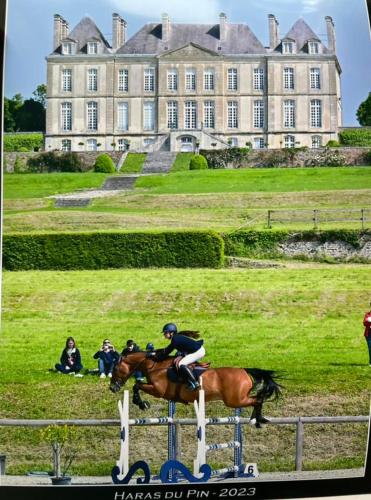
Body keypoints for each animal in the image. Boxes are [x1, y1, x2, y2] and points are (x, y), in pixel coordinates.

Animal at [109, 352, 282, 426]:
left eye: (116, 368)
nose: (112, 387)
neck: (156, 366)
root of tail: (244, 371)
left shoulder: (158, 391)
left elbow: (137, 385)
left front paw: (142, 403)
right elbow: (137, 385)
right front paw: (141, 403)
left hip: (235, 400)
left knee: (257, 400)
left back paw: (257, 420)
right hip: (237, 399)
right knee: (257, 400)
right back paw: (258, 419)